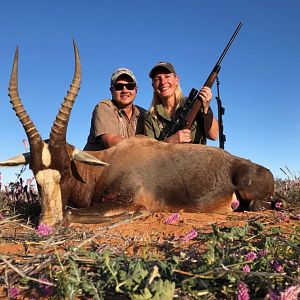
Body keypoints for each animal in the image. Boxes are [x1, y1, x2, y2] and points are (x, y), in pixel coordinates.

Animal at [0, 44, 274, 227]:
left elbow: (71, 212)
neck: (105, 164)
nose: (47, 224)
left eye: (66, 167)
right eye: (34, 170)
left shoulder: (127, 200)